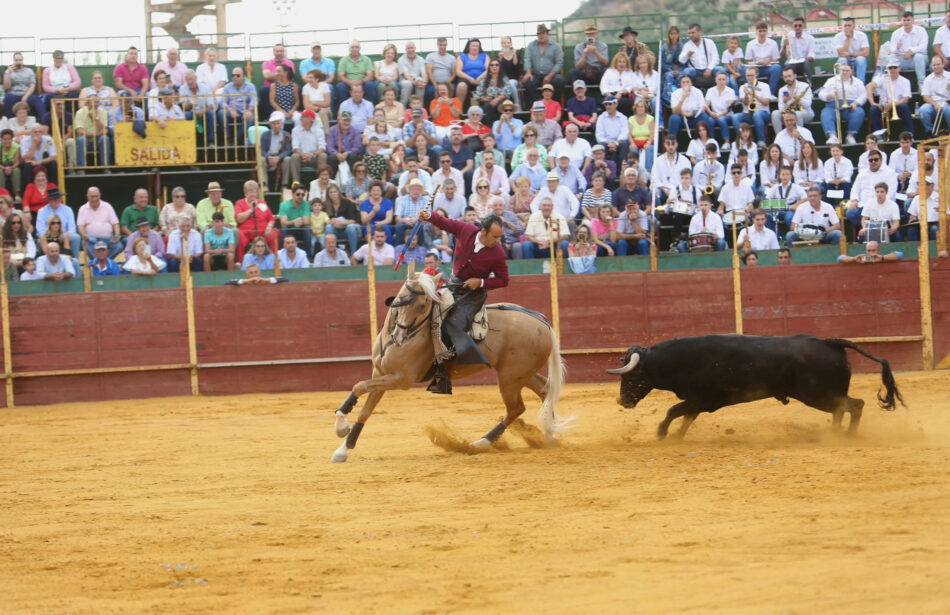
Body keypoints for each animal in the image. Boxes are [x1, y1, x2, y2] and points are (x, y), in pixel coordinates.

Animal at [330, 270, 568, 462]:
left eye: (423, 305)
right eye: (401, 299)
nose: (400, 338)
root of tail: (543, 323)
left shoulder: (401, 379)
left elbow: (359, 386)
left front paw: (341, 427)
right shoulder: (380, 373)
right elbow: (365, 410)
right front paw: (343, 447)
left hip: (510, 378)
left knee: (516, 408)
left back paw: (481, 443)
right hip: (521, 373)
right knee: (545, 389)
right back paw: (549, 435)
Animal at [608, 334, 908, 440]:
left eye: (631, 377)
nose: (622, 402)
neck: (677, 361)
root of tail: (829, 342)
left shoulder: (702, 400)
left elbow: (673, 411)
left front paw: (661, 433)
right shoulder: (699, 403)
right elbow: (685, 417)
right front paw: (677, 436)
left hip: (818, 395)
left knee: (854, 405)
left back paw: (845, 435)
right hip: (827, 395)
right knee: (843, 409)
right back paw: (835, 432)